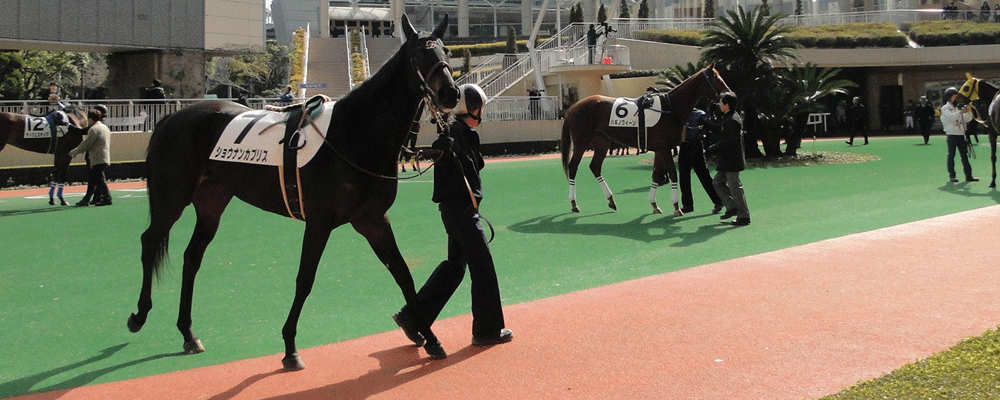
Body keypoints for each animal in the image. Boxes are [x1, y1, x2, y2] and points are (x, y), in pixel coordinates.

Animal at [127, 15, 462, 372]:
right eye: (419, 56)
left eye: (445, 52)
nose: (451, 93)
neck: (352, 133)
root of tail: (170, 118)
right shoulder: (319, 222)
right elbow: (305, 279)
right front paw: (289, 347)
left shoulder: (372, 220)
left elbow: (402, 273)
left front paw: (430, 338)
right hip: (171, 196)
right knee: (150, 241)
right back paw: (139, 315)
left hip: (211, 201)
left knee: (192, 257)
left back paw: (188, 333)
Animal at [564, 66, 728, 216]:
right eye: (717, 79)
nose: (729, 94)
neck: (670, 107)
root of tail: (573, 107)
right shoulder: (664, 149)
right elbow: (673, 174)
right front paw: (676, 207)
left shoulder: (659, 150)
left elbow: (656, 174)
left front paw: (654, 205)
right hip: (582, 142)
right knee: (573, 167)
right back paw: (574, 203)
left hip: (602, 141)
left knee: (595, 167)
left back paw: (611, 200)